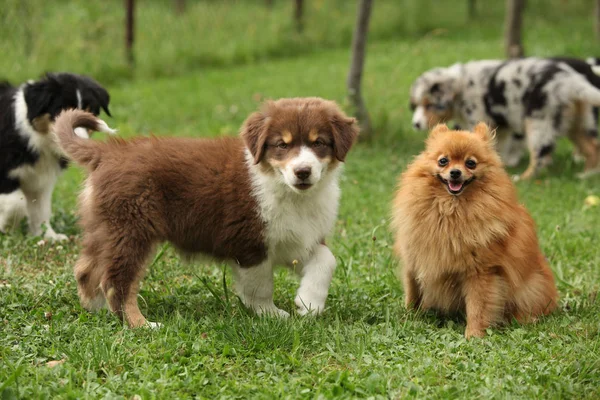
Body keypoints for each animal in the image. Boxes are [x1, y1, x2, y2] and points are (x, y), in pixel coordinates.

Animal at [0, 72, 110, 241]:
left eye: (89, 113)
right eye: (61, 111)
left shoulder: (40, 179)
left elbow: (41, 208)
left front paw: (48, 236)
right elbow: (16, 203)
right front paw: (6, 226)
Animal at [52, 97, 356, 328]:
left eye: (319, 143)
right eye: (282, 145)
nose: (302, 172)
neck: (289, 192)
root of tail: (106, 153)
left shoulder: (296, 237)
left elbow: (326, 260)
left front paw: (309, 303)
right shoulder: (250, 243)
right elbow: (259, 287)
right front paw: (271, 315)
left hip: (106, 228)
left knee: (85, 269)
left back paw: (97, 310)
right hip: (132, 229)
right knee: (116, 282)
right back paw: (141, 325)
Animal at [392, 123, 556, 340]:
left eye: (471, 163)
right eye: (443, 161)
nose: (455, 172)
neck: (450, 210)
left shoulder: (480, 272)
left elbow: (478, 306)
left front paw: (474, 335)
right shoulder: (415, 259)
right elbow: (413, 292)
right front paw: (409, 317)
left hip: (529, 289)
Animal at [410, 57, 600, 178]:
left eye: (429, 105)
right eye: (415, 105)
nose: (416, 124)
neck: (461, 85)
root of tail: (570, 81)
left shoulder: (478, 118)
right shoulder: (500, 128)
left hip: (539, 122)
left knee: (541, 156)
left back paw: (525, 178)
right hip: (577, 121)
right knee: (592, 147)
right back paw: (586, 174)